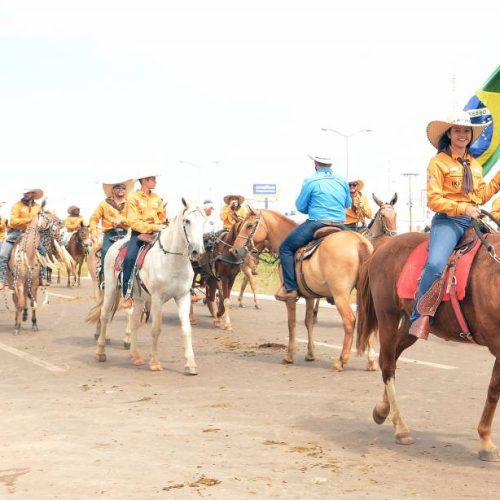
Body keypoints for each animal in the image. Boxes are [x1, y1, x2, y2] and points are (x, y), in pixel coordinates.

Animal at [87, 199, 206, 376]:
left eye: (205, 222)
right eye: (187, 221)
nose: (198, 251)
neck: (171, 261)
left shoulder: (183, 297)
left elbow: (186, 329)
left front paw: (190, 364)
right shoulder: (157, 298)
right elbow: (156, 329)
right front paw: (155, 363)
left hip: (137, 298)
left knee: (134, 321)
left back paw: (135, 355)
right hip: (110, 290)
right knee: (104, 315)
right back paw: (101, 352)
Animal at [232, 208, 374, 372]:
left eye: (249, 225)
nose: (235, 250)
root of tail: (359, 242)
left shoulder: (290, 298)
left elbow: (291, 324)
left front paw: (289, 355)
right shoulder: (310, 296)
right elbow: (308, 322)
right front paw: (310, 354)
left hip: (340, 295)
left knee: (349, 321)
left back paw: (341, 361)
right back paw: (371, 361)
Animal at [356, 230, 500, 460]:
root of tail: (384, 246)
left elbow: (493, 389)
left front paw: (485, 441)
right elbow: (495, 389)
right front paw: (485, 440)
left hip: (409, 325)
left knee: (393, 357)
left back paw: (382, 410)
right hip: (387, 315)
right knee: (387, 364)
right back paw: (401, 428)